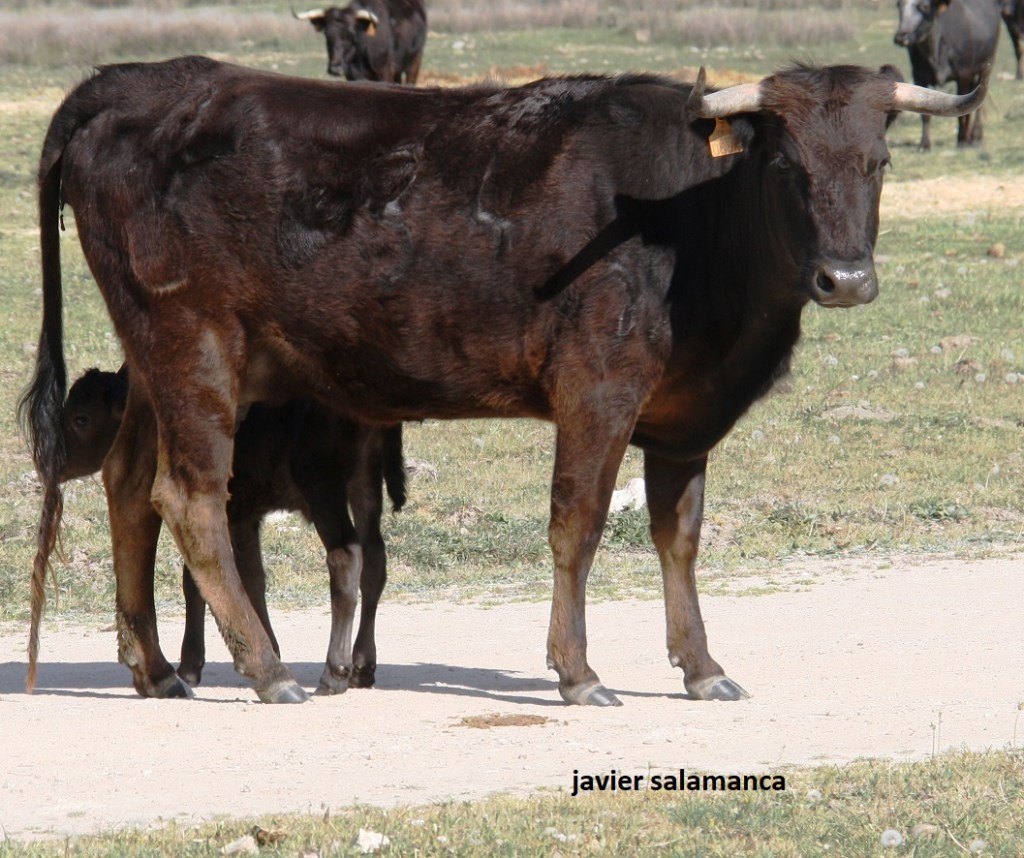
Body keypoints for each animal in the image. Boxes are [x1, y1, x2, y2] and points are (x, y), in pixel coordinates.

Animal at [52, 367, 407, 694]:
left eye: (81, 418)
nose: (52, 460)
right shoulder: (244, 516)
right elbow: (250, 577)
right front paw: (268, 649)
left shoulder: (225, 510)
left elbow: (202, 581)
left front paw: (191, 666)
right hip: (365, 483)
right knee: (375, 559)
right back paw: (362, 666)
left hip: (322, 484)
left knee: (345, 558)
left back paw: (335, 673)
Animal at [294, 0, 426, 84]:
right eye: (327, 34)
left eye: (352, 34)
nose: (335, 69)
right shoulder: (352, 76)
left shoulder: (385, 72)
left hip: (414, 62)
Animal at [894, 0, 1001, 149]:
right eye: (899, 5)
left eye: (924, 6)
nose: (901, 36)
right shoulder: (919, 76)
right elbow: (925, 114)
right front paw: (924, 144)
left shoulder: (964, 75)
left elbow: (962, 112)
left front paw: (962, 140)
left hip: (986, 64)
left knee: (978, 107)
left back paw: (975, 136)